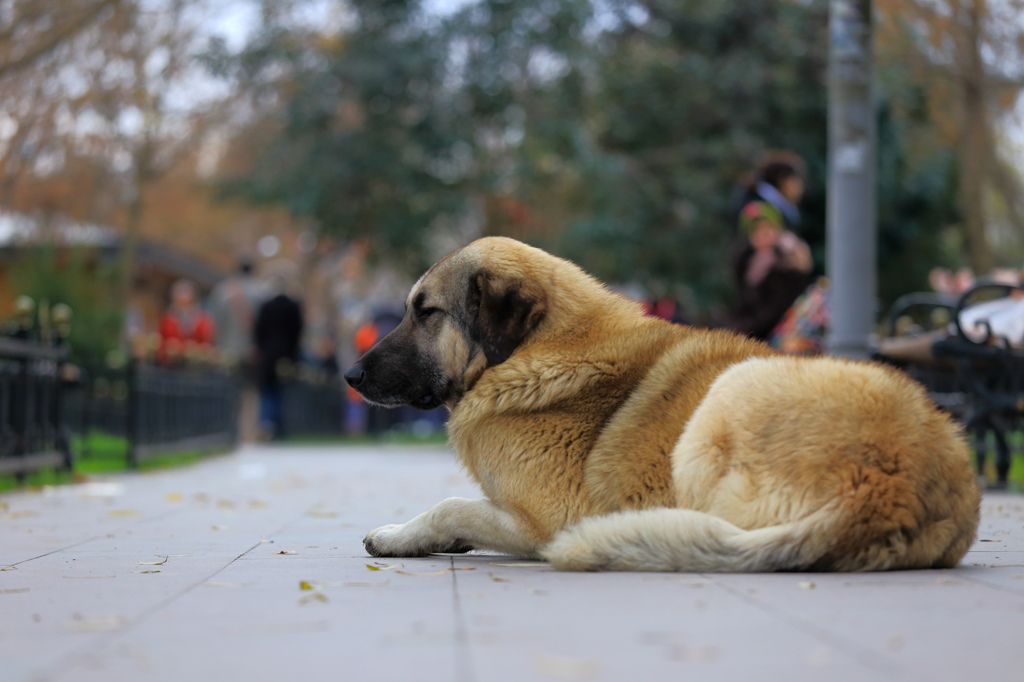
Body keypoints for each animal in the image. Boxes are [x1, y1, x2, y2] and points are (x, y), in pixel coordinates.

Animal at [348, 235, 978, 569]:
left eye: (425, 312)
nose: (350, 375)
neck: (539, 349)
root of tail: (886, 487)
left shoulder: (545, 520)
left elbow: (451, 505)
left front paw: (399, 534)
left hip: (730, 392)